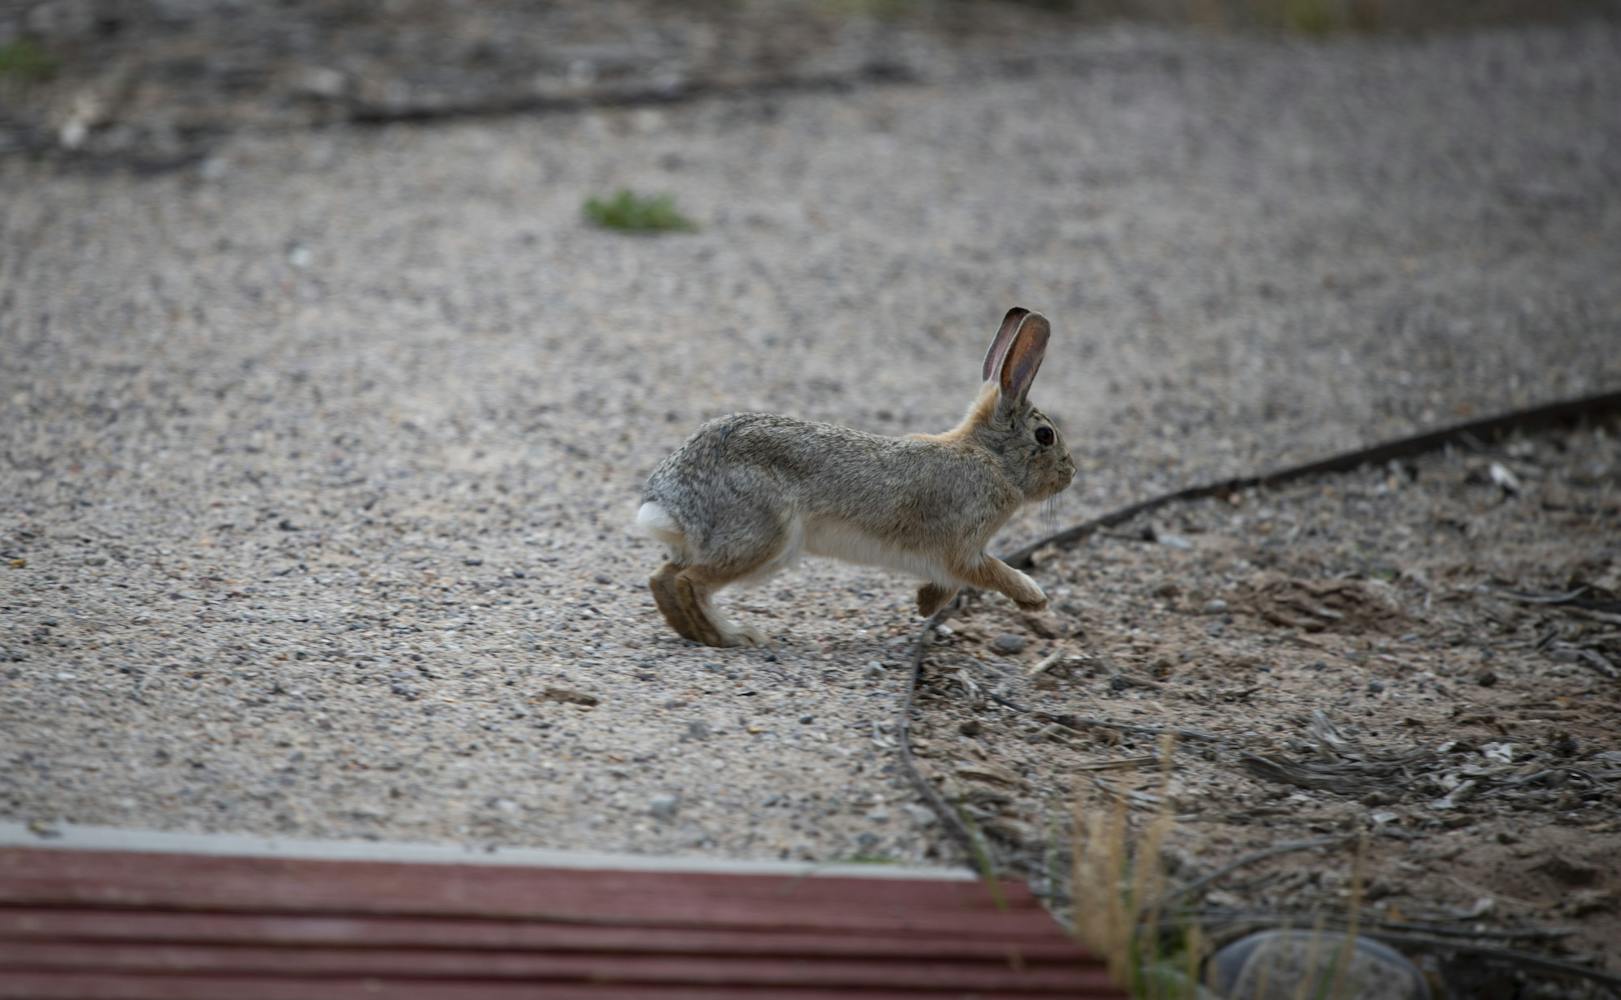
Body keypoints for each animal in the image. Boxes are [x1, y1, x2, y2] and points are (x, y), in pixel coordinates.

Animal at [636, 307, 1075, 647]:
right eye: (1045, 435)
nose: (1070, 473)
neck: (990, 458)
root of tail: (667, 502)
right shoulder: (963, 548)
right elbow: (994, 572)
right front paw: (1035, 599)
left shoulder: (950, 557)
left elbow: (952, 583)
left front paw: (924, 605)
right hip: (764, 539)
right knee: (688, 581)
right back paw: (730, 637)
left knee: (663, 578)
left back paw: (702, 632)